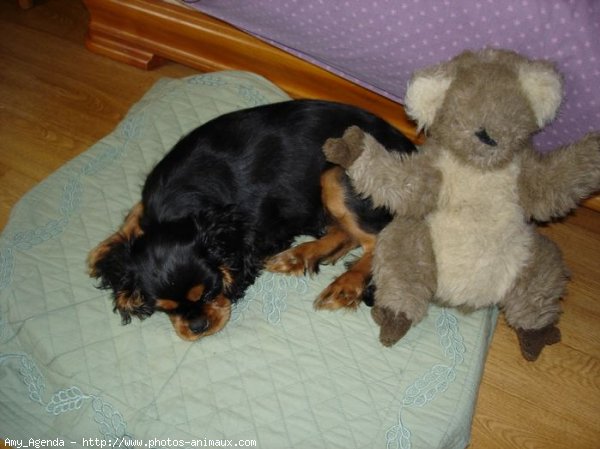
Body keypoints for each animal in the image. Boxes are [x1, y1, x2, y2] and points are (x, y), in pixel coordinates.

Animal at [89, 100, 414, 340]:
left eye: (211, 291)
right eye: (164, 308)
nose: (197, 328)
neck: (178, 203)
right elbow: (134, 214)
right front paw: (103, 253)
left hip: (336, 175)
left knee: (377, 240)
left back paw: (345, 284)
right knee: (348, 234)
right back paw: (298, 256)